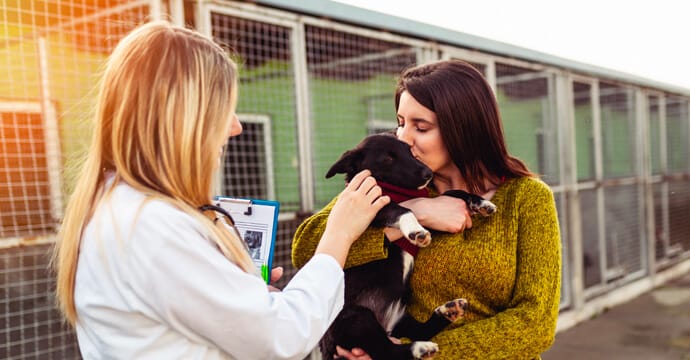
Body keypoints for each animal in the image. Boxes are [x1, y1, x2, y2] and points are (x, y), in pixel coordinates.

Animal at [322, 134, 494, 358]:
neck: (399, 191)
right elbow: (402, 209)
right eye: (388, 159)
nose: (428, 173)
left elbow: (452, 192)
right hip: (355, 319)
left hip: (400, 317)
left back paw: (448, 311)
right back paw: (420, 348)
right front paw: (415, 231)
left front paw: (480, 203)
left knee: (419, 330)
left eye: (410, 151)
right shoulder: (371, 207)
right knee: (387, 351)